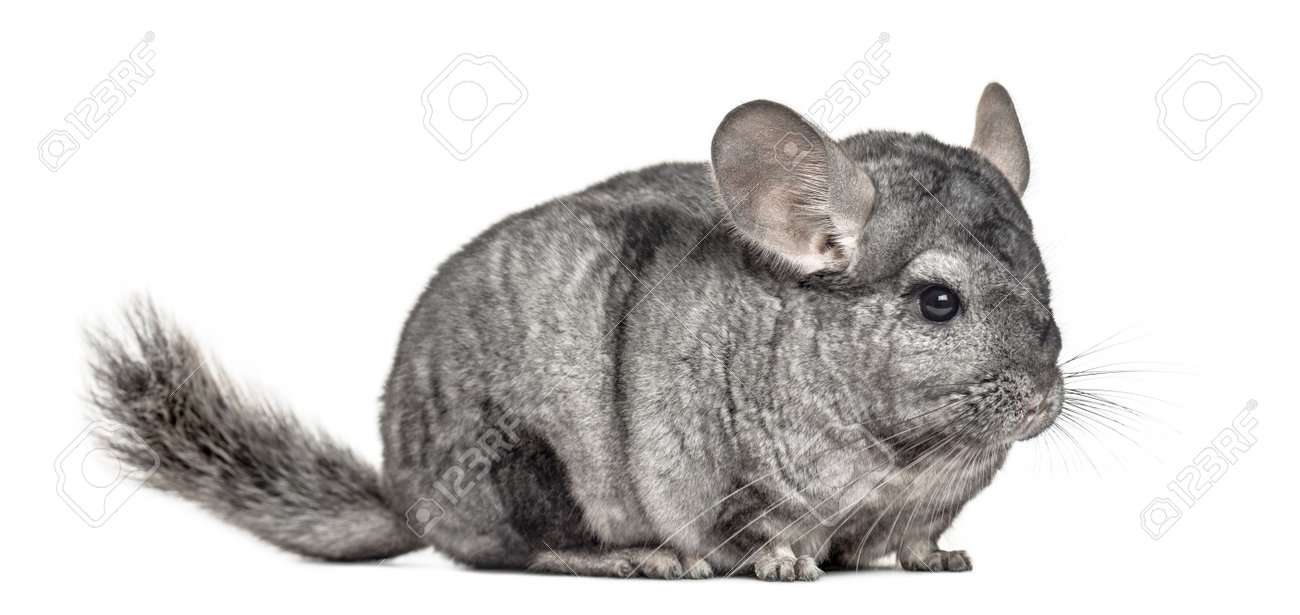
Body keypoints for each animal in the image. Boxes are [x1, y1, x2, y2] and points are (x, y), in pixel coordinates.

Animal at [89, 83, 1062, 581]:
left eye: (1048, 283)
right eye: (938, 302)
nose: (1045, 403)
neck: (903, 457)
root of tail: (403, 492)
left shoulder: (918, 508)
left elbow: (918, 541)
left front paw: (939, 561)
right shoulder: (715, 476)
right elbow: (755, 531)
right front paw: (787, 565)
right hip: (522, 462)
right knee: (521, 552)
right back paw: (640, 560)